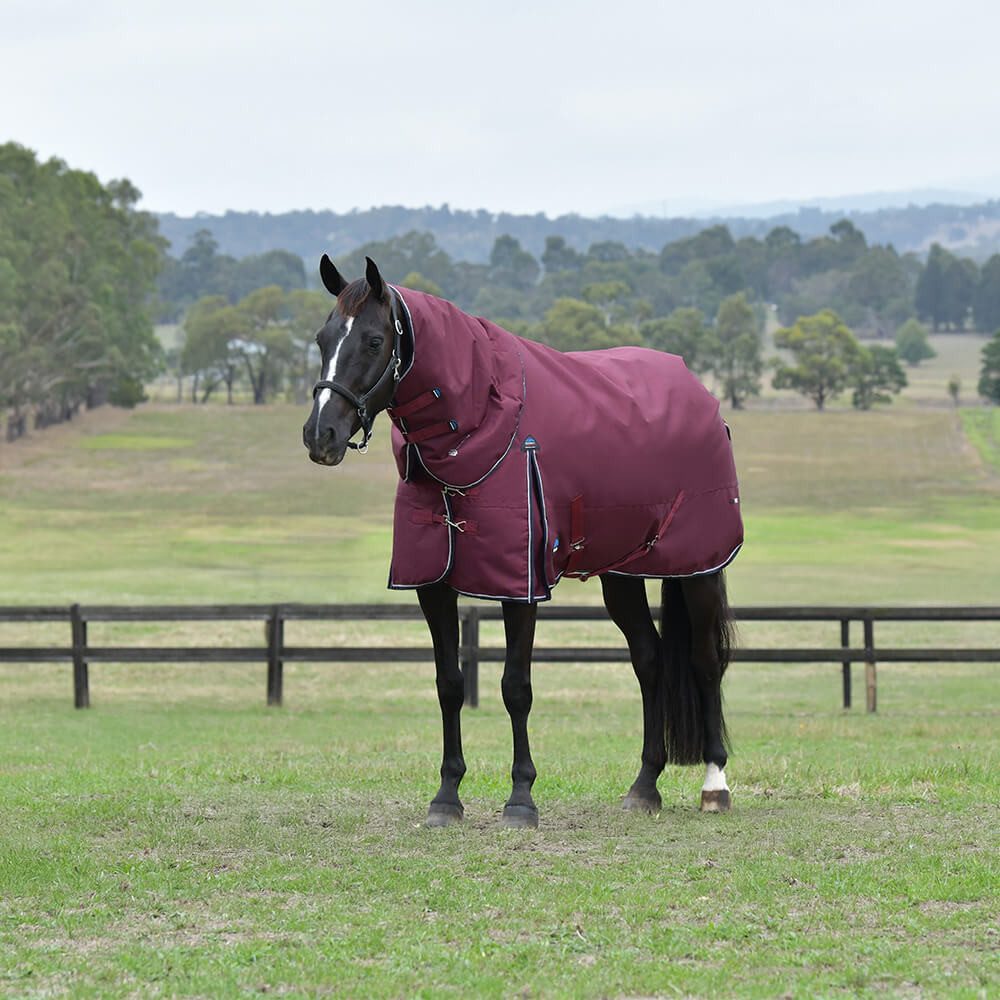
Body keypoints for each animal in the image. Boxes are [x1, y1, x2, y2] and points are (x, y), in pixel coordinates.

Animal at [302, 256, 742, 829]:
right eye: (322, 337)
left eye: (375, 340)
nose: (320, 436)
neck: (480, 425)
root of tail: (700, 395)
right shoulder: (432, 585)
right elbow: (449, 683)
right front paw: (447, 797)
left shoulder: (520, 584)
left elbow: (516, 687)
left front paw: (520, 799)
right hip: (623, 573)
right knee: (649, 659)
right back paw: (644, 786)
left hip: (698, 568)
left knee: (705, 661)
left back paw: (715, 785)